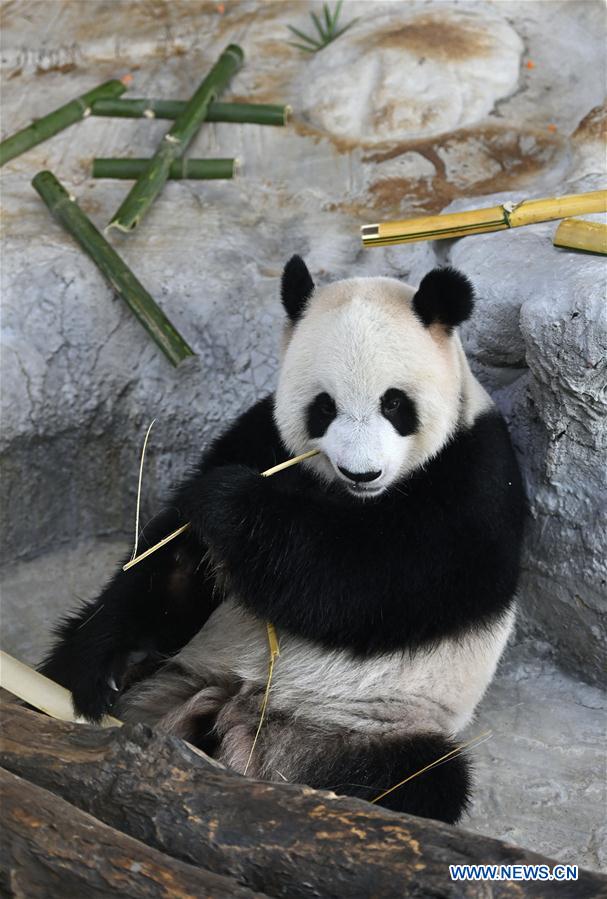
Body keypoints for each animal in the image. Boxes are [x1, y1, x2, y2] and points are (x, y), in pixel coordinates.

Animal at [44, 256, 528, 828]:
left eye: (394, 403)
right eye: (324, 407)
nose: (362, 472)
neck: (350, 498)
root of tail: (231, 712)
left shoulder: (475, 475)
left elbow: (368, 580)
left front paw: (228, 502)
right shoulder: (260, 434)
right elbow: (170, 566)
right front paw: (104, 669)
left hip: (366, 723)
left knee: (419, 780)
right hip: (182, 671)